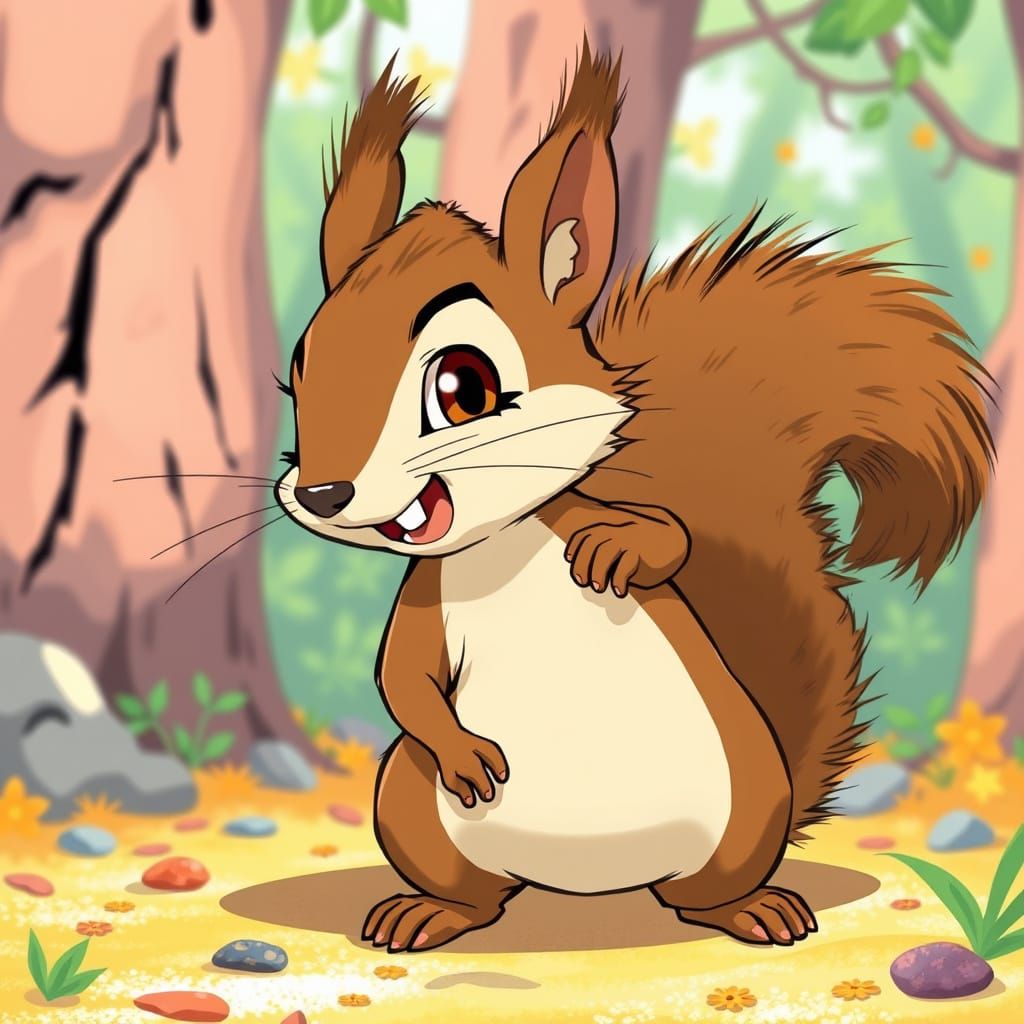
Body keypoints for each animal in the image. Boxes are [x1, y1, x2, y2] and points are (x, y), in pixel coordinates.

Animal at [275, 43, 994, 953]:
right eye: (299, 373)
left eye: (464, 386)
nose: (324, 491)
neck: (502, 546)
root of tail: (589, 888)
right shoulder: (424, 598)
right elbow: (401, 679)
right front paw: (464, 752)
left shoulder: (582, 513)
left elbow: (667, 534)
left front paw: (615, 550)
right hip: (409, 795)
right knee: (475, 889)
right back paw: (430, 910)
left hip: (748, 797)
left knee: (705, 895)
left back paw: (752, 908)